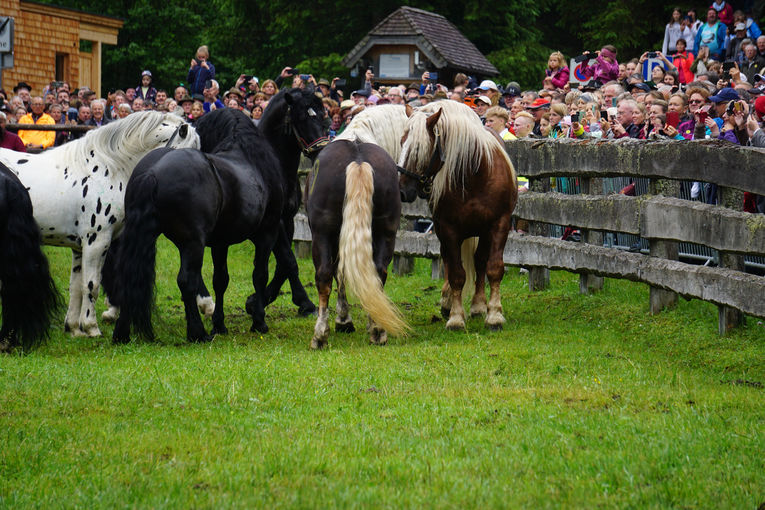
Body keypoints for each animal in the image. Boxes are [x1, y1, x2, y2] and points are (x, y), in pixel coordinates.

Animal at [112, 90, 326, 342]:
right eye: (303, 117)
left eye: (323, 115)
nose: (321, 150)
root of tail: (152, 173)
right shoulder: (271, 228)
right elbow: (268, 270)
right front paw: (259, 316)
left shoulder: (223, 241)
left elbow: (223, 279)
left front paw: (222, 323)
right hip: (192, 242)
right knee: (187, 280)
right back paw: (197, 332)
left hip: (148, 236)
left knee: (131, 274)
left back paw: (122, 332)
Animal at [302, 138, 406, 346]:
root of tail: (358, 162)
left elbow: (338, 274)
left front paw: (343, 321)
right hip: (386, 232)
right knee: (379, 273)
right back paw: (378, 330)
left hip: (322, 234)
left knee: (324, 275)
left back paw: (320, 335)